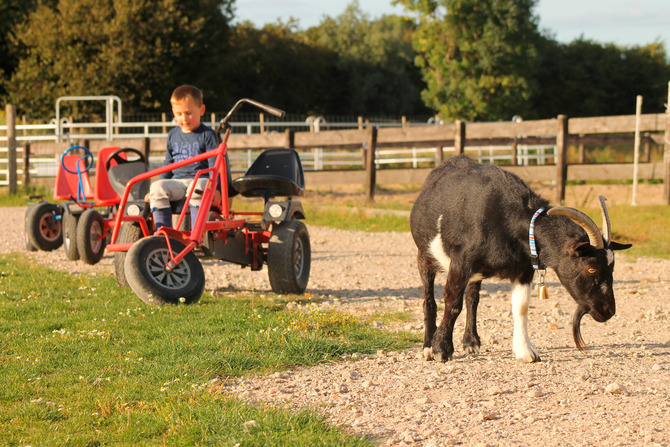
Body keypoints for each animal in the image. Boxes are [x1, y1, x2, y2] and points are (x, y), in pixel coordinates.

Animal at [410, 158, 636, 364]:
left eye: (612, 268)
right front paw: (441, 349)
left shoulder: (523, 269)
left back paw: (471, 341)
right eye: (590, 268)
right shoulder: (461, 262)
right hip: (424, 255)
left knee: (473, 298)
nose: (608, 311)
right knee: (429, 299)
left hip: (477, 273)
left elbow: (521, 307)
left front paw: (525, 352)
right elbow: (452, 303)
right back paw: (427, 345)